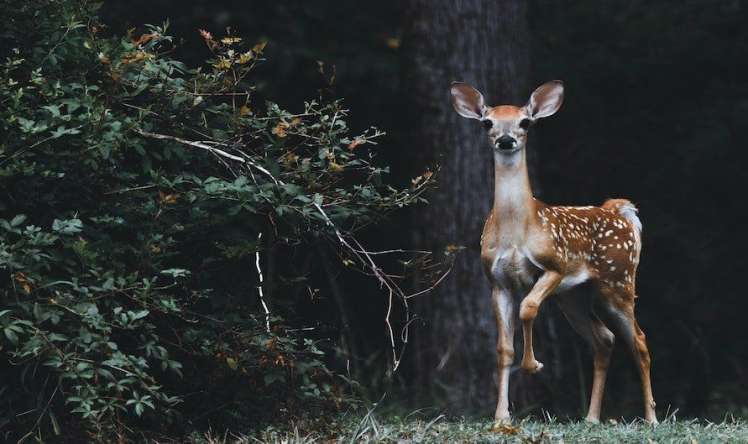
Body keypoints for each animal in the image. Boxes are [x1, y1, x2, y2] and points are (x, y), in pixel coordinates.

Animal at [450, 81, 656, 424]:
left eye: (525, 122)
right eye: (487, 123)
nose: (506, 140)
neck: (517, 230)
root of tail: (619, 211)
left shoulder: (555, 265)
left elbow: (529, 307)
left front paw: (533, 365)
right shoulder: (496, 281)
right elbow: (503, 348)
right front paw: (501, 416)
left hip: (618, 281)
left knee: (638, 340)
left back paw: (651, 418)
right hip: (573, 296)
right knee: (604, 339)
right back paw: (591, 417)